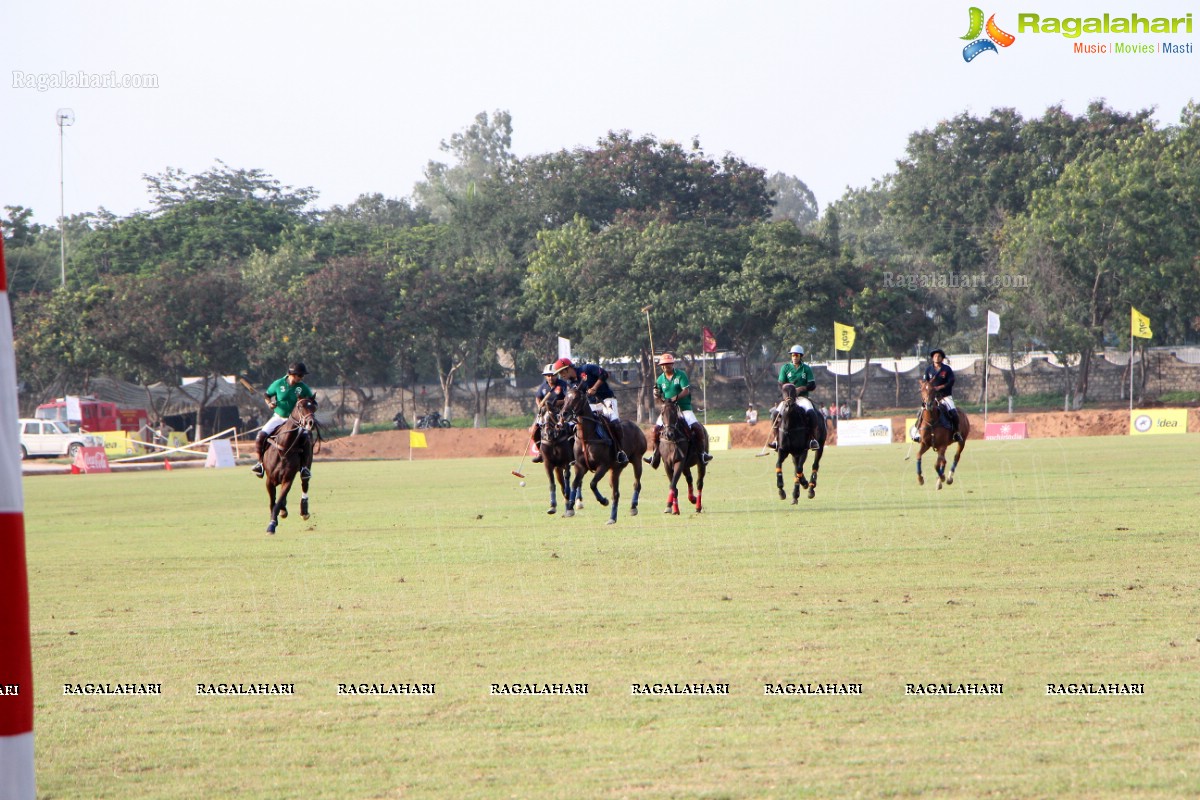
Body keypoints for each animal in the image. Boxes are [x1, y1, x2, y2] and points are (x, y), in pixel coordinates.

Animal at [261, 398, 319, 534]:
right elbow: (273, 502)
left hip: (307, 464)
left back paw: (304, 511)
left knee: (305, 482)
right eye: (300, 406)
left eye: (314, 407)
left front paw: (272, 524)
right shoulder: (269, 480)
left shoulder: (288, 479)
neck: (284, 448)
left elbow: (278, 501)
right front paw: (274, 520)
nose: (311, 423)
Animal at [556, 383, 643, 522]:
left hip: (637, 459)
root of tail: (636, 426)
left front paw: (603, 500)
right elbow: (575, 483)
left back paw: (633, 507)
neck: (587, 437)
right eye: (565, 398)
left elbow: (592, 484)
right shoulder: (580, 466)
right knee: (616, 492)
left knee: (637, 484)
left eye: (577, 398)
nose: (563, 414)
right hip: (616, 469)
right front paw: (569, 508)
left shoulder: (603, 466)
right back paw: (613, 517)